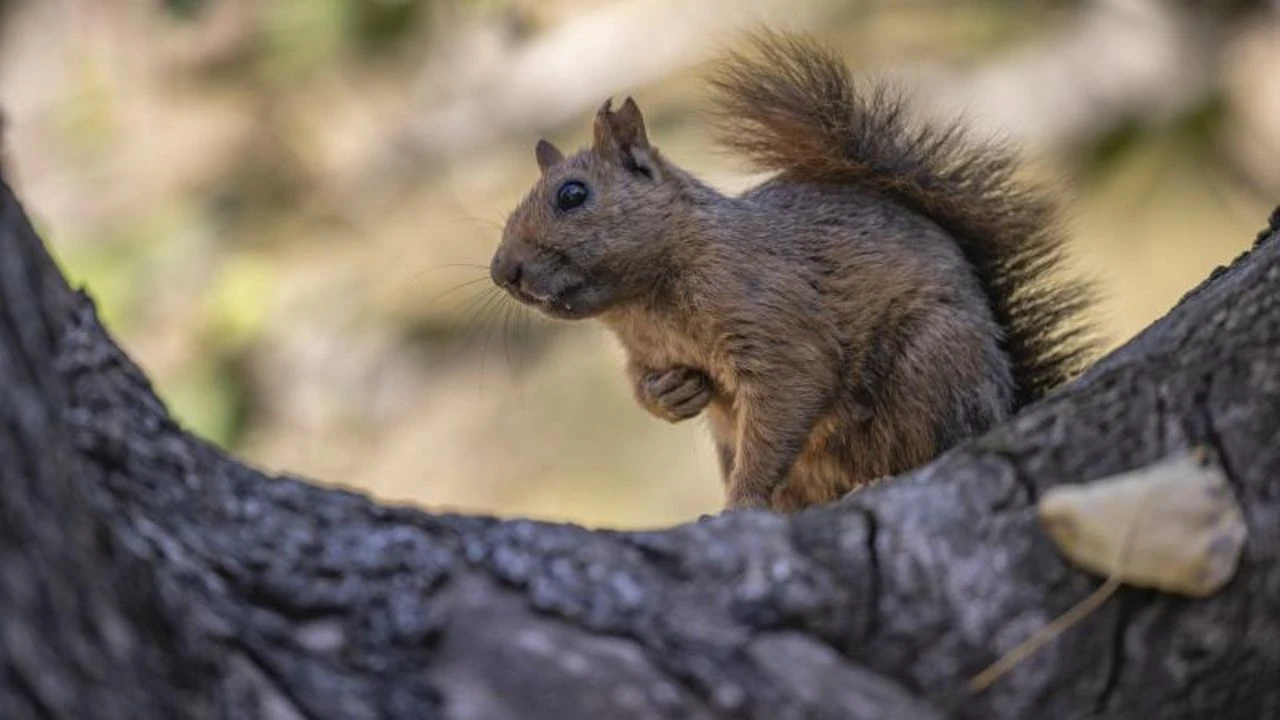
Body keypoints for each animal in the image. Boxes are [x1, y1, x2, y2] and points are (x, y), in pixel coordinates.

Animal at [488, 29, 1090, 509]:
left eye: (572, 195)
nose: (502, 271)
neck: (645, 304)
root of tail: (1008, 395)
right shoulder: (646, 352)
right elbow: (644, 384)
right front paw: (668, 394)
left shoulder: (773, 315)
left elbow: (793, 386)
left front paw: (741, 504)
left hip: (930, 368)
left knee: (934, 445)